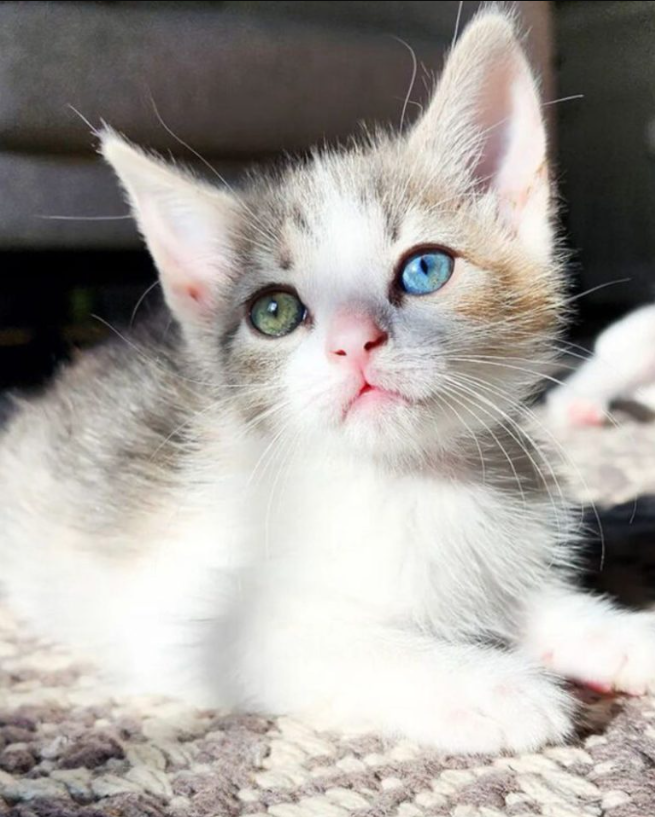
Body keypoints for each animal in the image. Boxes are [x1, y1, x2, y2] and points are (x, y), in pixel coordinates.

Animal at [1, 9, 655, 756]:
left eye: (425, 269)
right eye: (274, 312)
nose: (353, 341)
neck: (403, 481)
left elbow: (528, 598)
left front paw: (617, 633)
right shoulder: (183, 620)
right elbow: (327, 641)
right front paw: (487, 685)